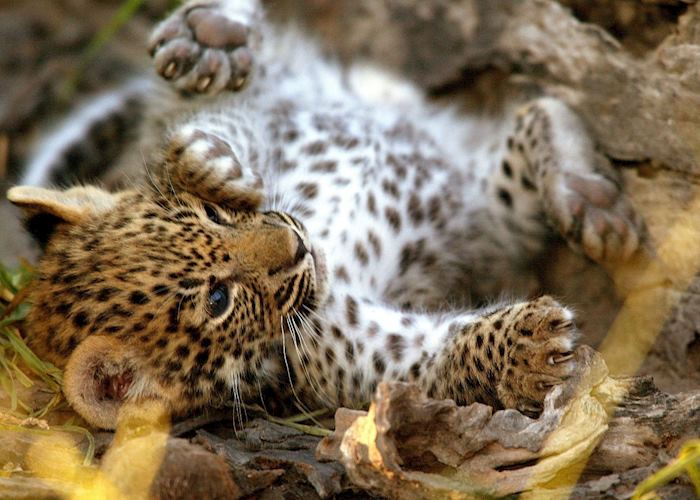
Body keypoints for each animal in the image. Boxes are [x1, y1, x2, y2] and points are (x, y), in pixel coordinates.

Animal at [7, 0, 644, 429]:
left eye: (215, 216)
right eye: (219, 300)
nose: (296, 244)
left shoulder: (261, 131)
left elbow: (199, 137)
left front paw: (213, 164)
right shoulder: (344, 352)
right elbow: (424, 359)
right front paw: (526, 352)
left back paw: (211, 33)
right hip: (484, 207)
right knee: (531, 129)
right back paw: (588, 195)